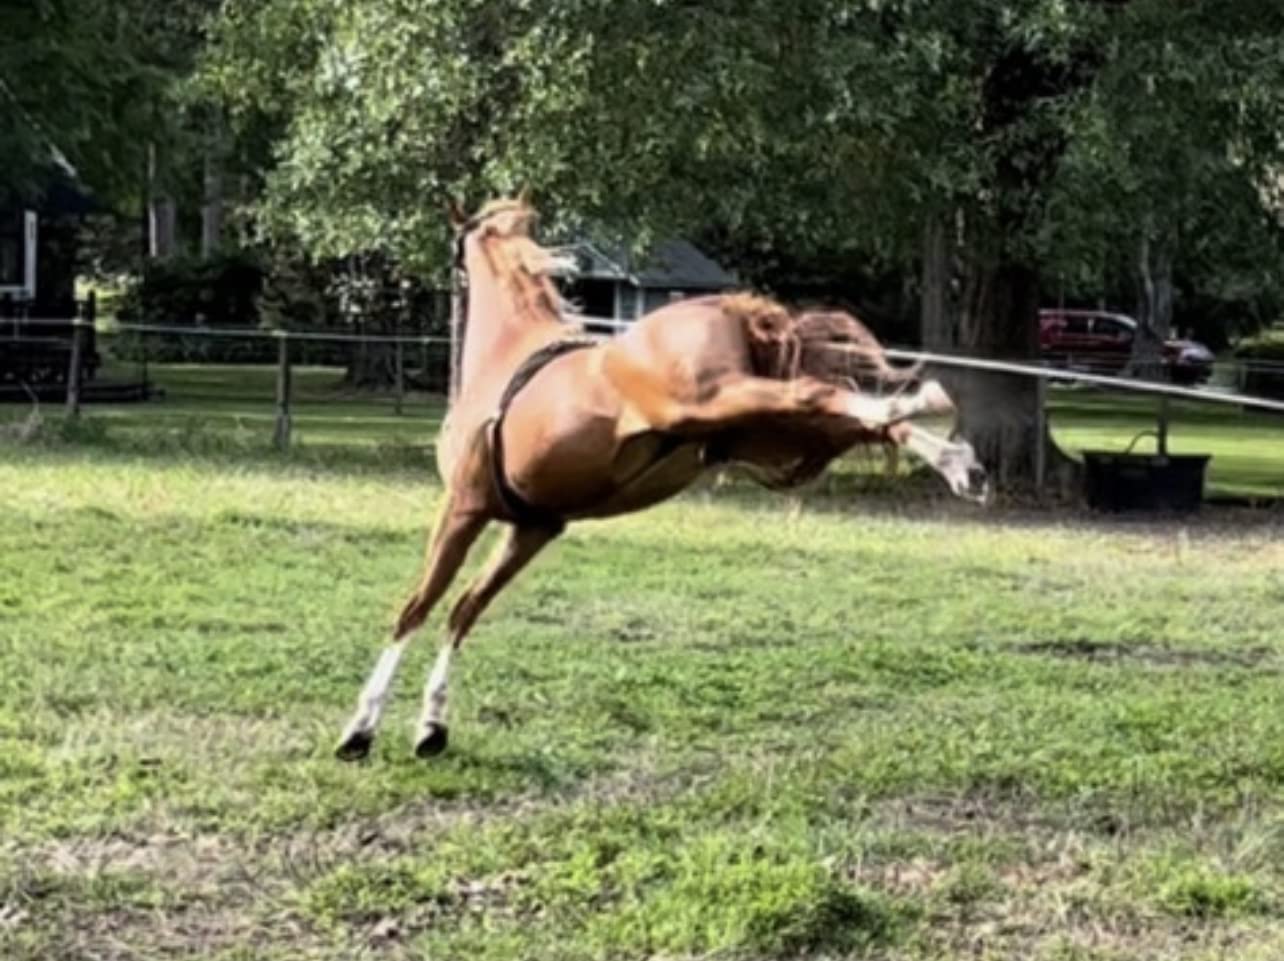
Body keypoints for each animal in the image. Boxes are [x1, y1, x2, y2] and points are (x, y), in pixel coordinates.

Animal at [335, 195, 988, 761]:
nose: (570, 257)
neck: (507, 356)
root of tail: (725, 307)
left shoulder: (464, 509)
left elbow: (416, 607)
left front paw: (361, 728)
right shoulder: (532, 529)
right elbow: (464, 611)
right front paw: (430, 726)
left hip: (714, 401)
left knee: (825, 395)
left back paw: (931, 408)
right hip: (766, 434)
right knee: (855, 417)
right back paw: (957, 460)